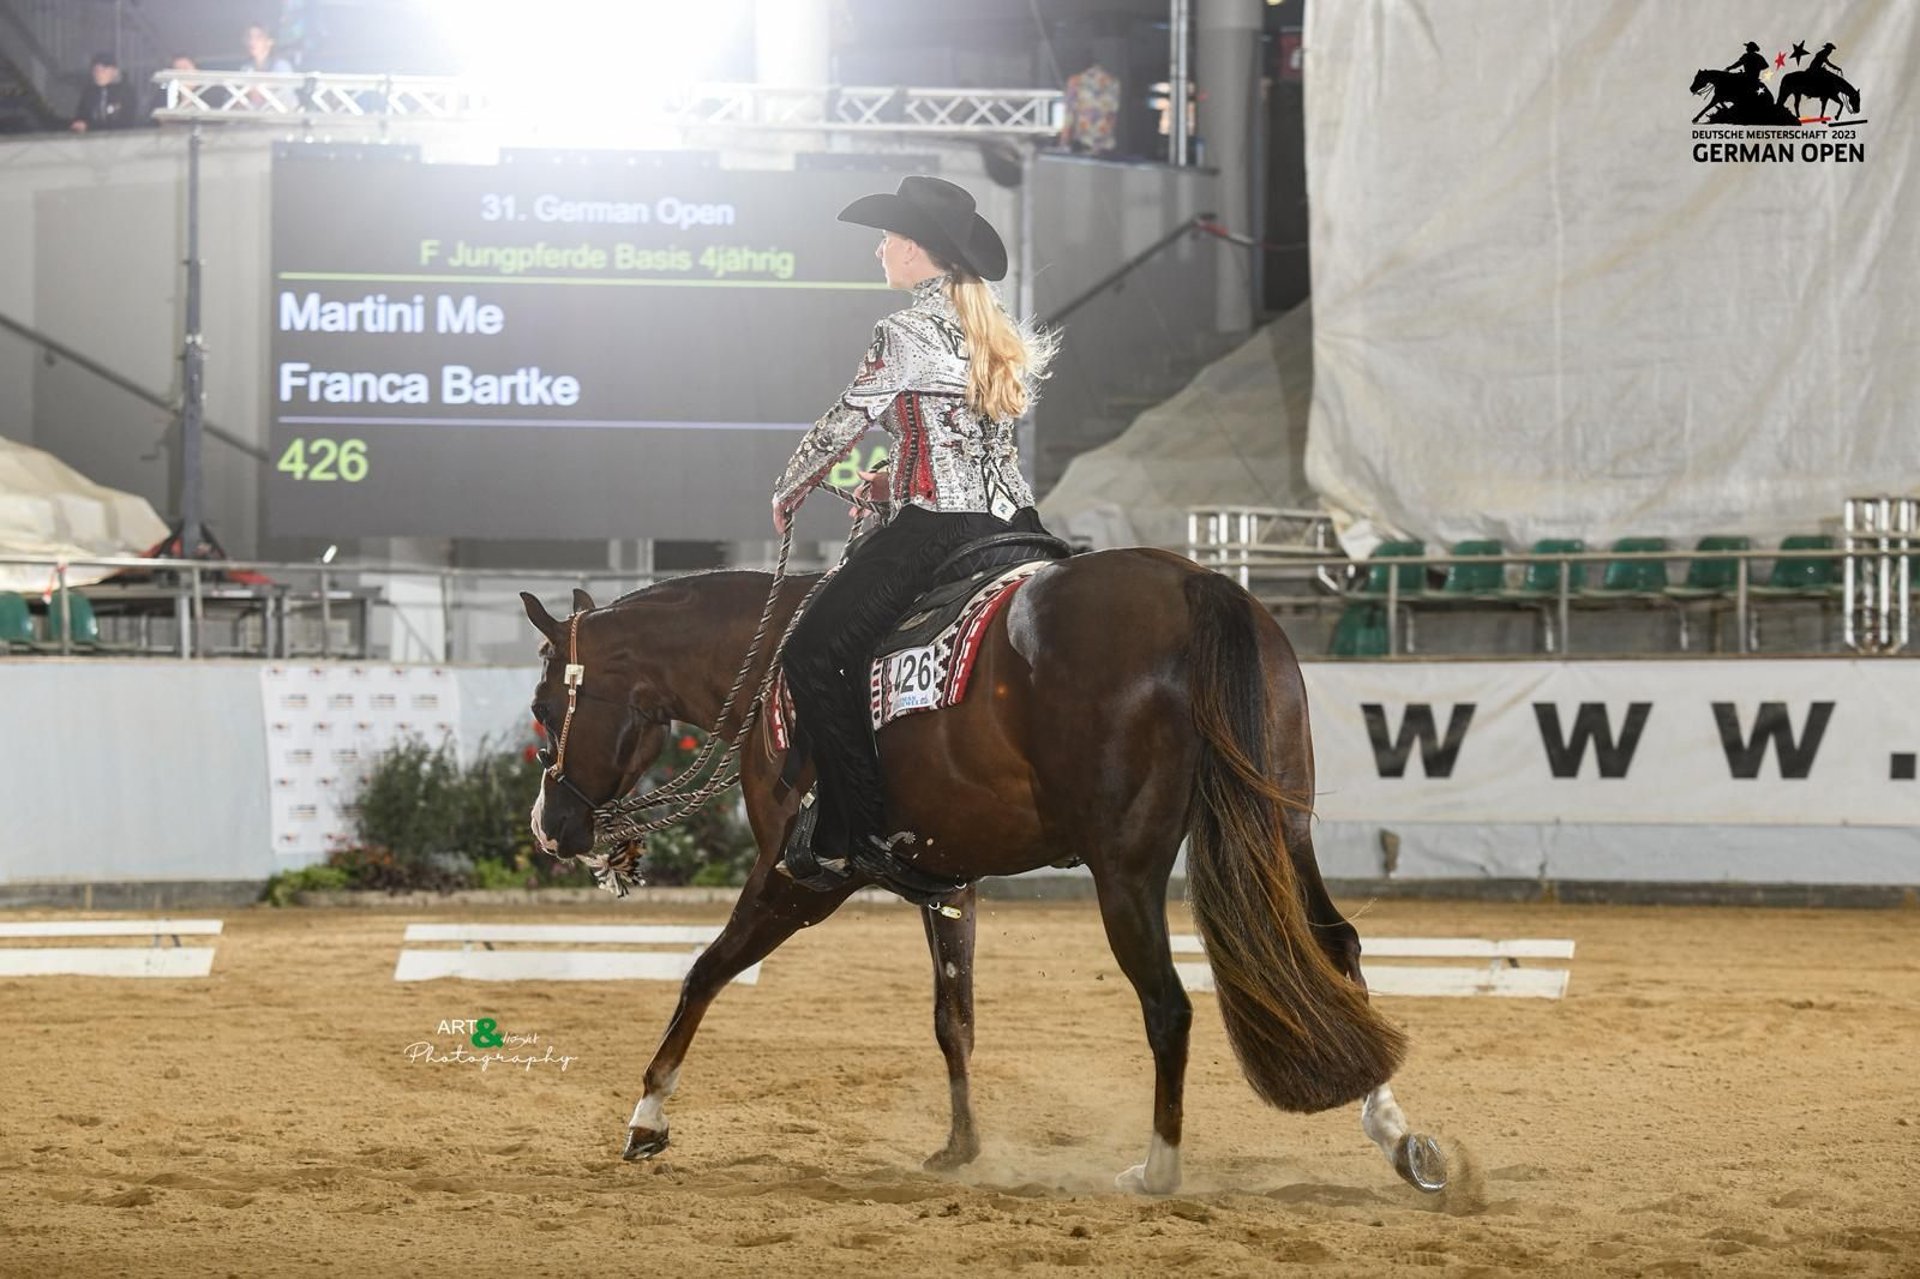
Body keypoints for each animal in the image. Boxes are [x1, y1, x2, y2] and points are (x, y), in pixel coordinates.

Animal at [518, 549, 1448, 1195]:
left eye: (542, 705)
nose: (550, 826)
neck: (773, 671)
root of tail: (1194, 583)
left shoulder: (798, 877)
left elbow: (704, 971)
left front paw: (647, 1116)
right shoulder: (950, 884)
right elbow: (952, 1017)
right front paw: (960, 1146)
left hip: (1126, 870)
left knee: (1170, 1006)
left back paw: (1158, 1169)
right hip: (1283, 829)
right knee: (1336, 947)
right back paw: (1402, 1138)